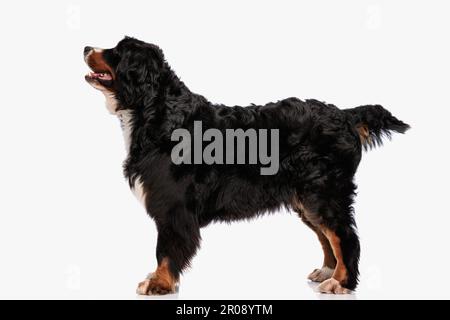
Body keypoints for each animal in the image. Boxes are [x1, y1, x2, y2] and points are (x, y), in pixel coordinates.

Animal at [82, 37, 410, 296]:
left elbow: (166, 249)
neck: (157, 111)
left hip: (324, 192)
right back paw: (327, 272)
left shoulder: (173, 206)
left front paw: (159, 283)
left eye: (116, 51)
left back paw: (340, 282)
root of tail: (345, 115)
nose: (86, 47)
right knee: (328, 236)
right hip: (306, 198)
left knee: (344, 236)